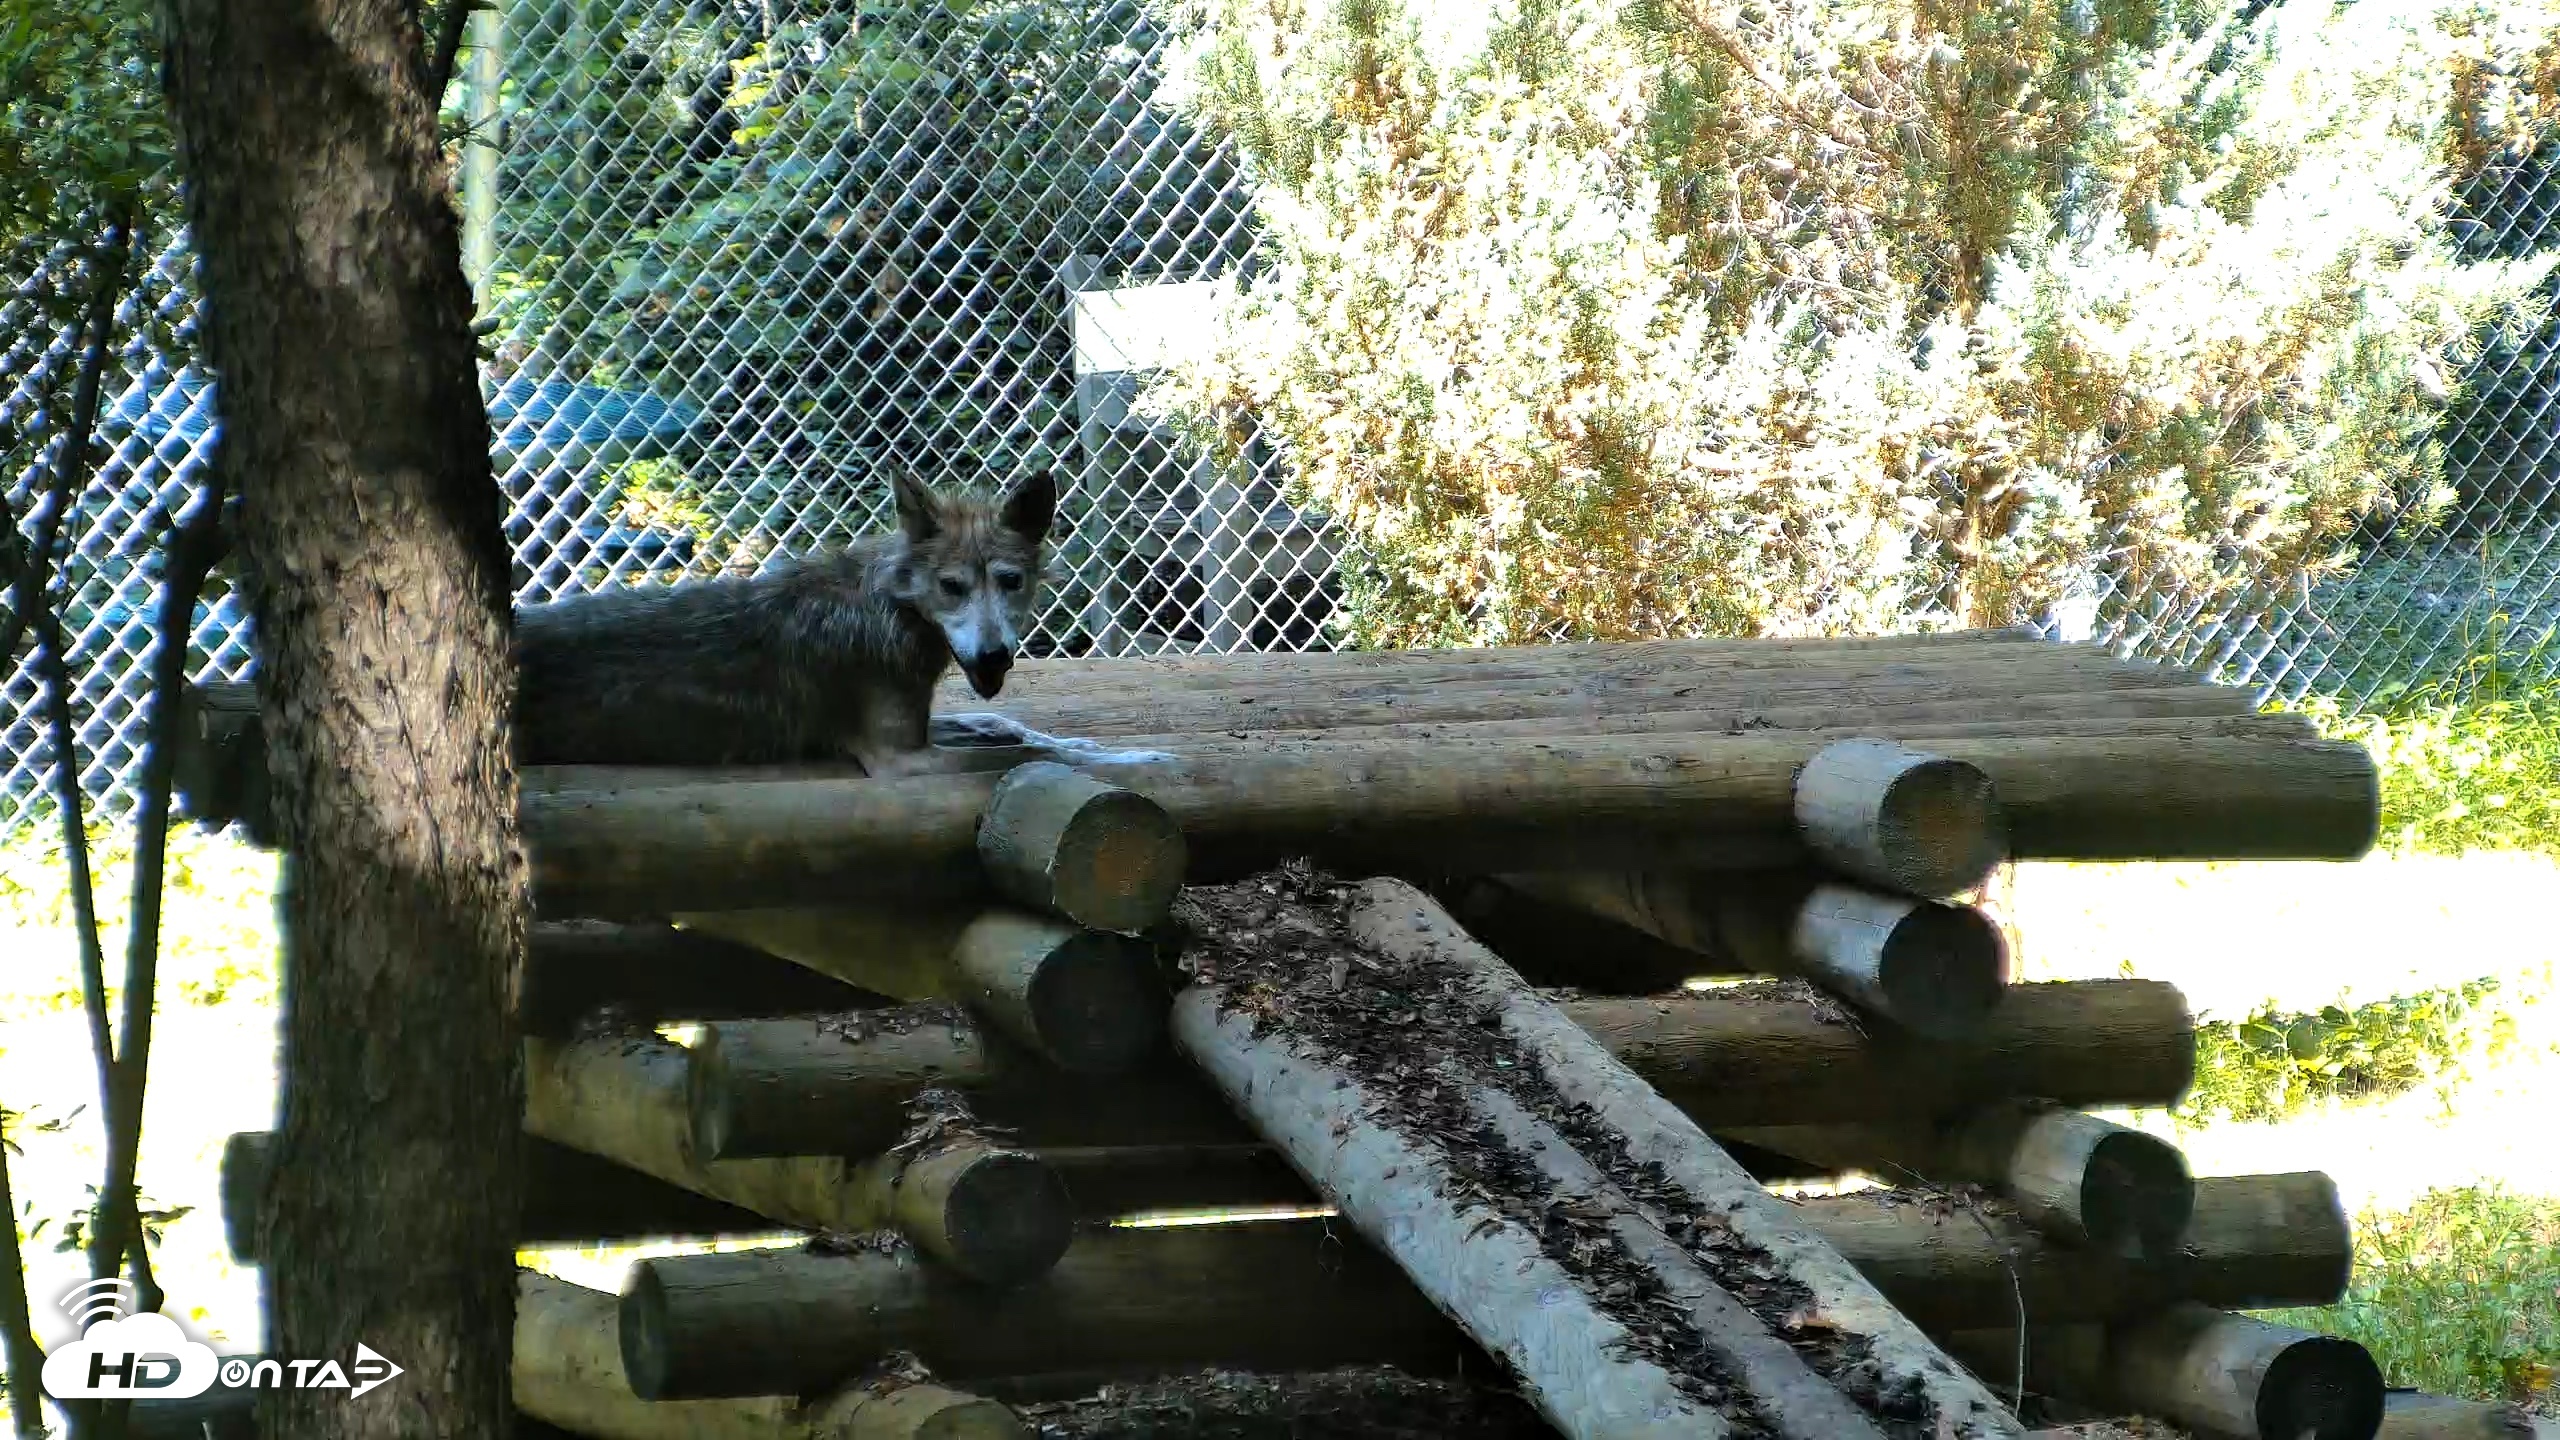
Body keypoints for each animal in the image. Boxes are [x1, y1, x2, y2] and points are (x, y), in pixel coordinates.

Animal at [511, 465, 1168, 777]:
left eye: (1011, 582)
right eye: (951, 587)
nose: (994, 656)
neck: (892, 610)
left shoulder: (925, 730)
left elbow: (1014, 728)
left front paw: (1097, 744)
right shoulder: (901, 760)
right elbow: (1029, 757)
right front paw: (1136, 763)